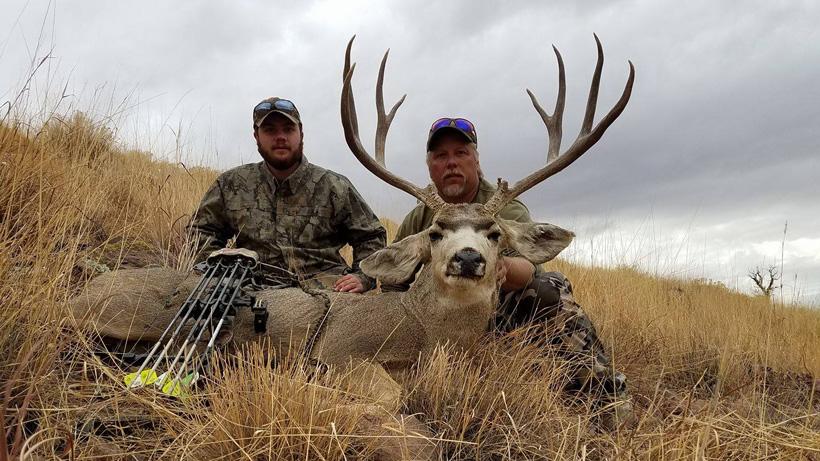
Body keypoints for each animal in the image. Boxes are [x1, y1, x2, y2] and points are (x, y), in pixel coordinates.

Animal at [69, 35, 633, 459]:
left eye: (494, 233)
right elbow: (391, 397)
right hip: (133, 317)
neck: (425, 331)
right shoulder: (341, 349)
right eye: (435, 232)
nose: (468, 258)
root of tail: (80, 293)